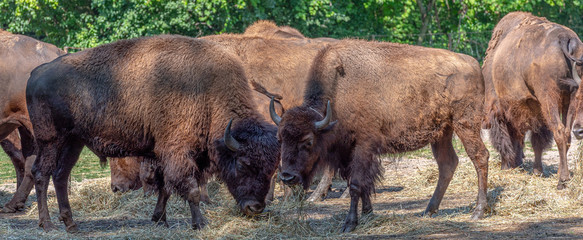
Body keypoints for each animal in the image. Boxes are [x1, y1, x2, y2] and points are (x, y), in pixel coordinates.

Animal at [26, 34, 280, 232]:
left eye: (271, 168)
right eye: (243, 164)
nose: (255, 208)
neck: (209, 94)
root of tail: (36, 73)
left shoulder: (166, 154)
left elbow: (165, 187)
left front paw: (160, 219)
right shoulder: (178, 153)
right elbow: (190, 189)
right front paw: (200, 223)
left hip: (73, 142)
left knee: (60, 174)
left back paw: (71, 224)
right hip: (50, 140)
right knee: (41, 173)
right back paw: (47, 224)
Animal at [272, 39, 490, 232]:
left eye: (308, 141)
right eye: (280, 139)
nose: (287, 176)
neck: (338, 92)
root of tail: (473, 64)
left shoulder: (363, 145)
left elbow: (357, 184)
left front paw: (350, 224)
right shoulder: (348, 152)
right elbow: (361, 183)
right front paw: (368, 214)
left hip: (465, 123)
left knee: (480, 156)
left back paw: (478, 211)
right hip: (442, 133)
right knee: (447, 163)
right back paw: (429, 210)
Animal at [484, 11, 583, 189]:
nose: (514, 163)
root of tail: (565, 37)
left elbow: (507, 138)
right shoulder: (538, 110)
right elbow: (537, 140)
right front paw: (537, 171)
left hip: (549, 98)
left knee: (559, 131)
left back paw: (562, 180)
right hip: (571, 98)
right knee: (566, 133)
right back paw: (560, 174)